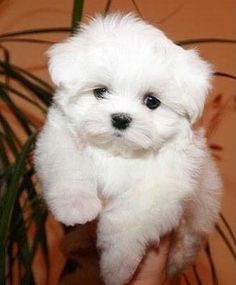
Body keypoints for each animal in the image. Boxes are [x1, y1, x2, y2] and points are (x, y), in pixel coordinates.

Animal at [34, 13, 222, 284]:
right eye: (100, 92)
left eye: (152, 101)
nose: (121, 118)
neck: (119, 152)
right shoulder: (58, 138)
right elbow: (68, 166)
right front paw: (75, 205)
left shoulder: (165, 184)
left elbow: (128, 220)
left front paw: (116, 267)